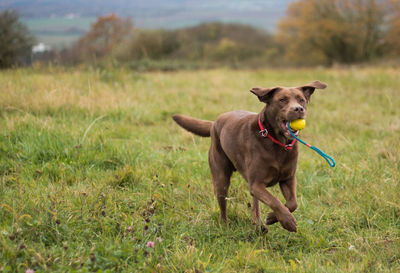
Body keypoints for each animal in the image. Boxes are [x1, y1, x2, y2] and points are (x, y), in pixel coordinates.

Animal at [171, 79, 324, 231]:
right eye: (282, 100)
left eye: (301, 100)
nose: (298, 109)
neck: (277, 142)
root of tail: (215, 122)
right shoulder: (256, 183)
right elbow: (274, 201)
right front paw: (287, 221)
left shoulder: (288, 178)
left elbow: (292, 203)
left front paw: (272, 217)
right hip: (220, 177)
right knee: (222, 203)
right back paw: (225, 225)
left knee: (255, 203)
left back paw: (259, 224)